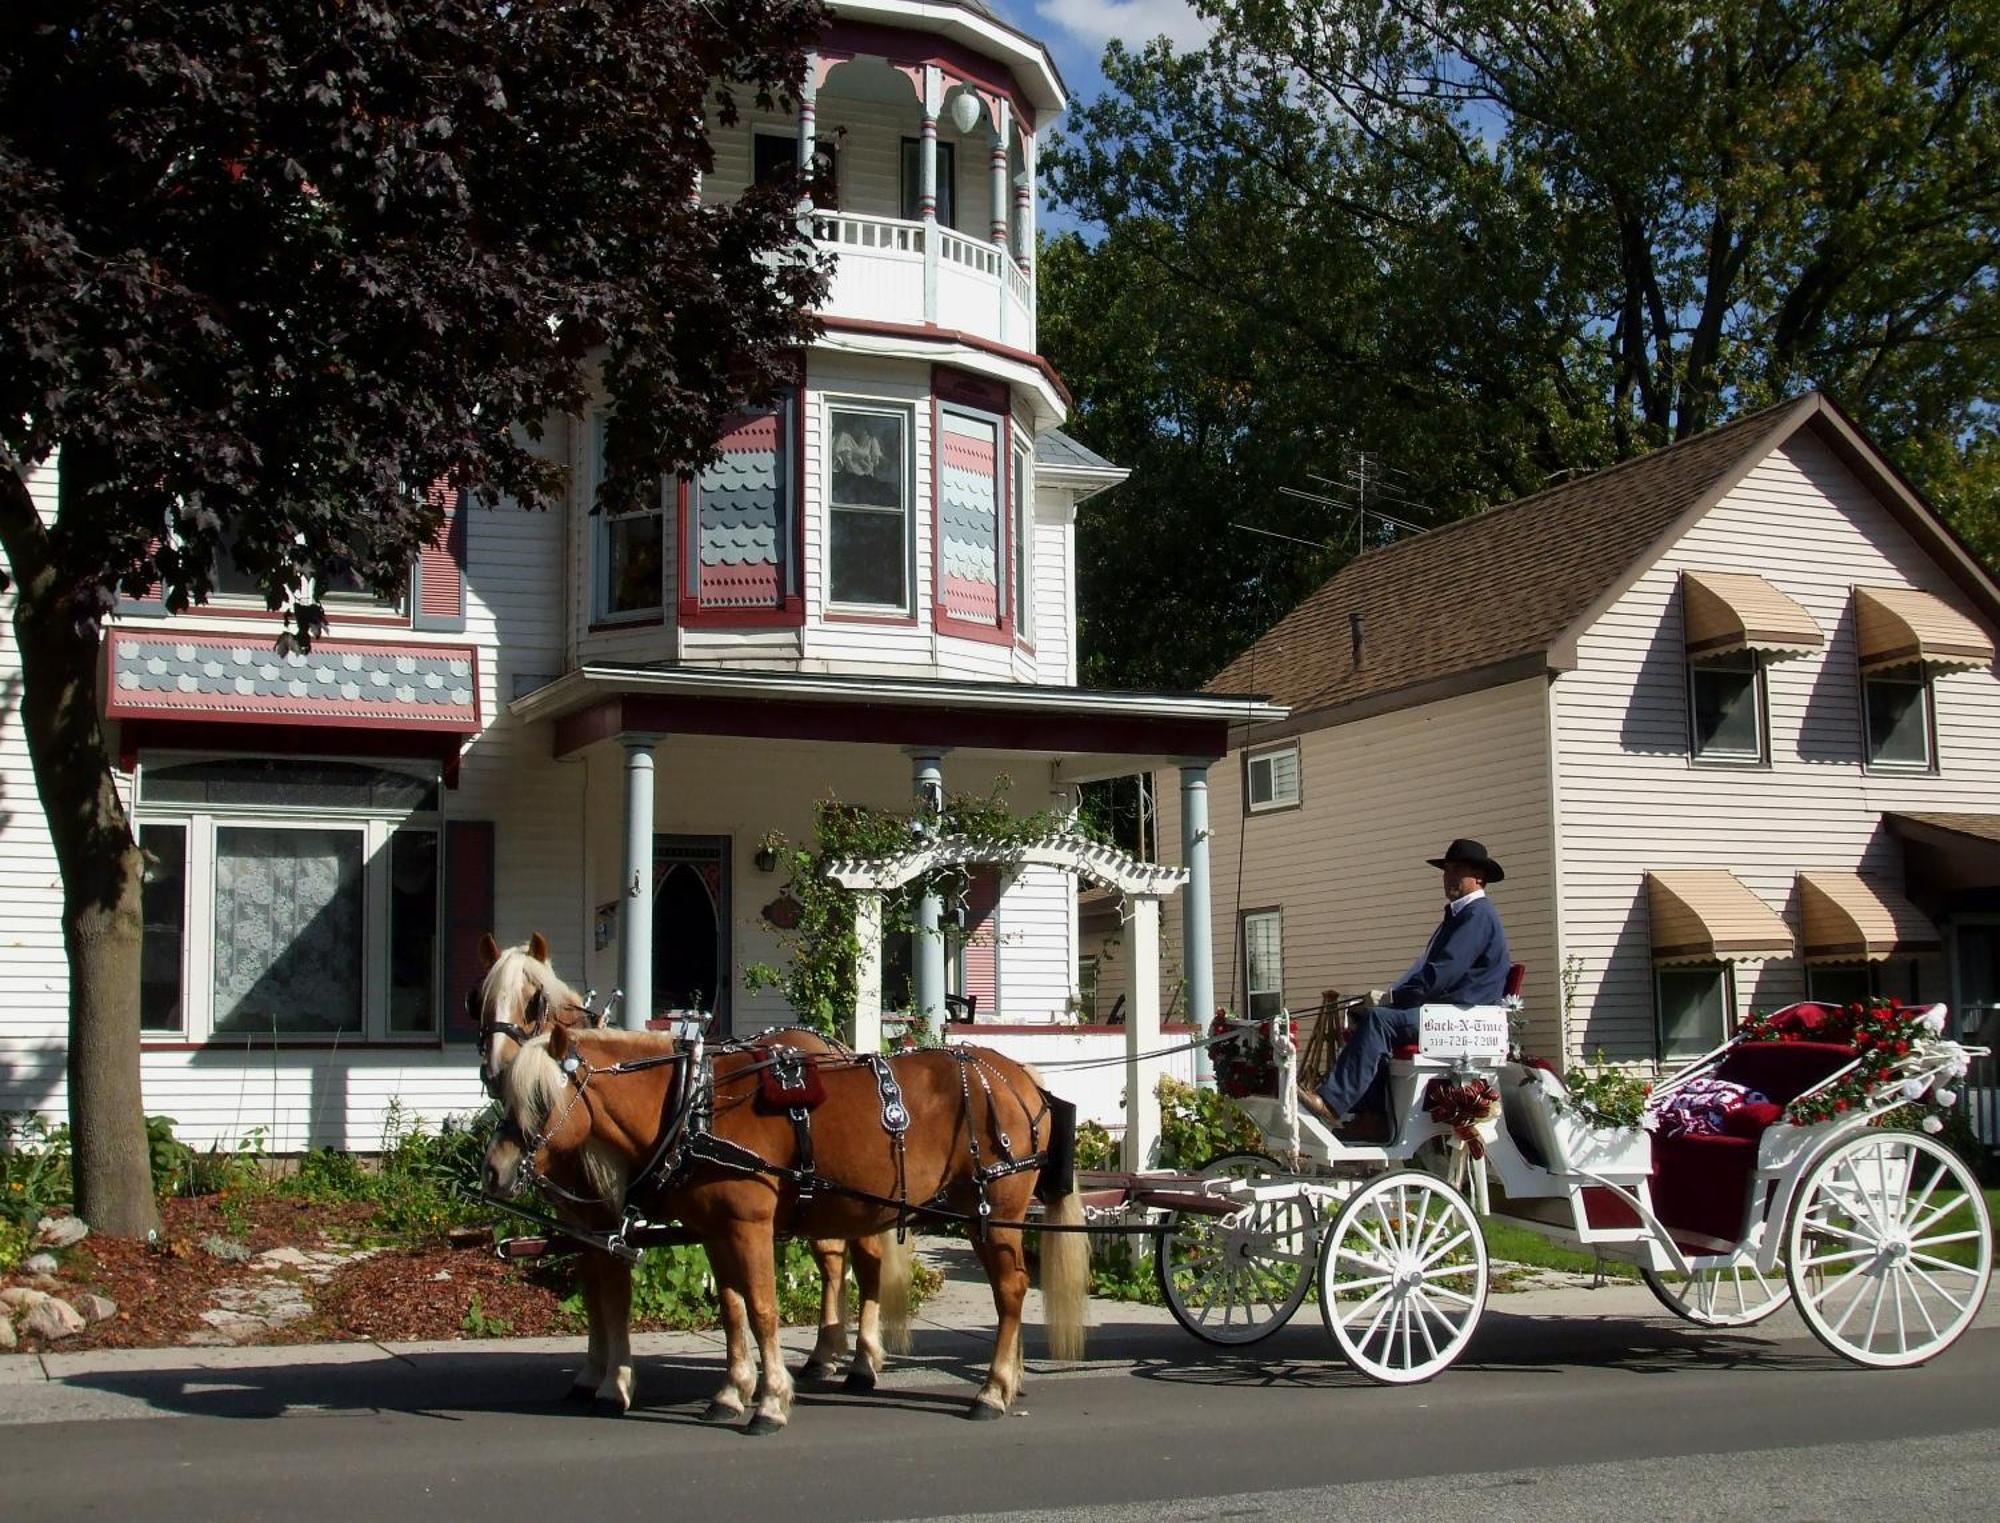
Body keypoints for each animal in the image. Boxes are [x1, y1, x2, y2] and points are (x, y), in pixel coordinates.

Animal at [468, 927, 908, 1415]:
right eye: (478, 999)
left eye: (534, 1001)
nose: (496, 1070)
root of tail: (834, 1046)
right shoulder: (579, 1223)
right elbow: (593, 1297)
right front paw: (590, 1374)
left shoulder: (609, 1220)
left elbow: (615, 1297)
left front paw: (615, 1383)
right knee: (832, 1259)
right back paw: (824, 1354)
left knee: (864, 1261)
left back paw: (863, 1359)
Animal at [488, 1015, 1096, 1431]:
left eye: (541, 1098)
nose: (493, 1169)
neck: (694, 1105)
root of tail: (1018, 1078)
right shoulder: (716, 1231)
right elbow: (732, 1310)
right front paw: (731, 1392)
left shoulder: (750, 1223)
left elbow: (762, 1309)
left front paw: (771, 1402)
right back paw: (1000, 1380)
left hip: (995, 1210)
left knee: (1011, 1290)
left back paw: (991, 1390)